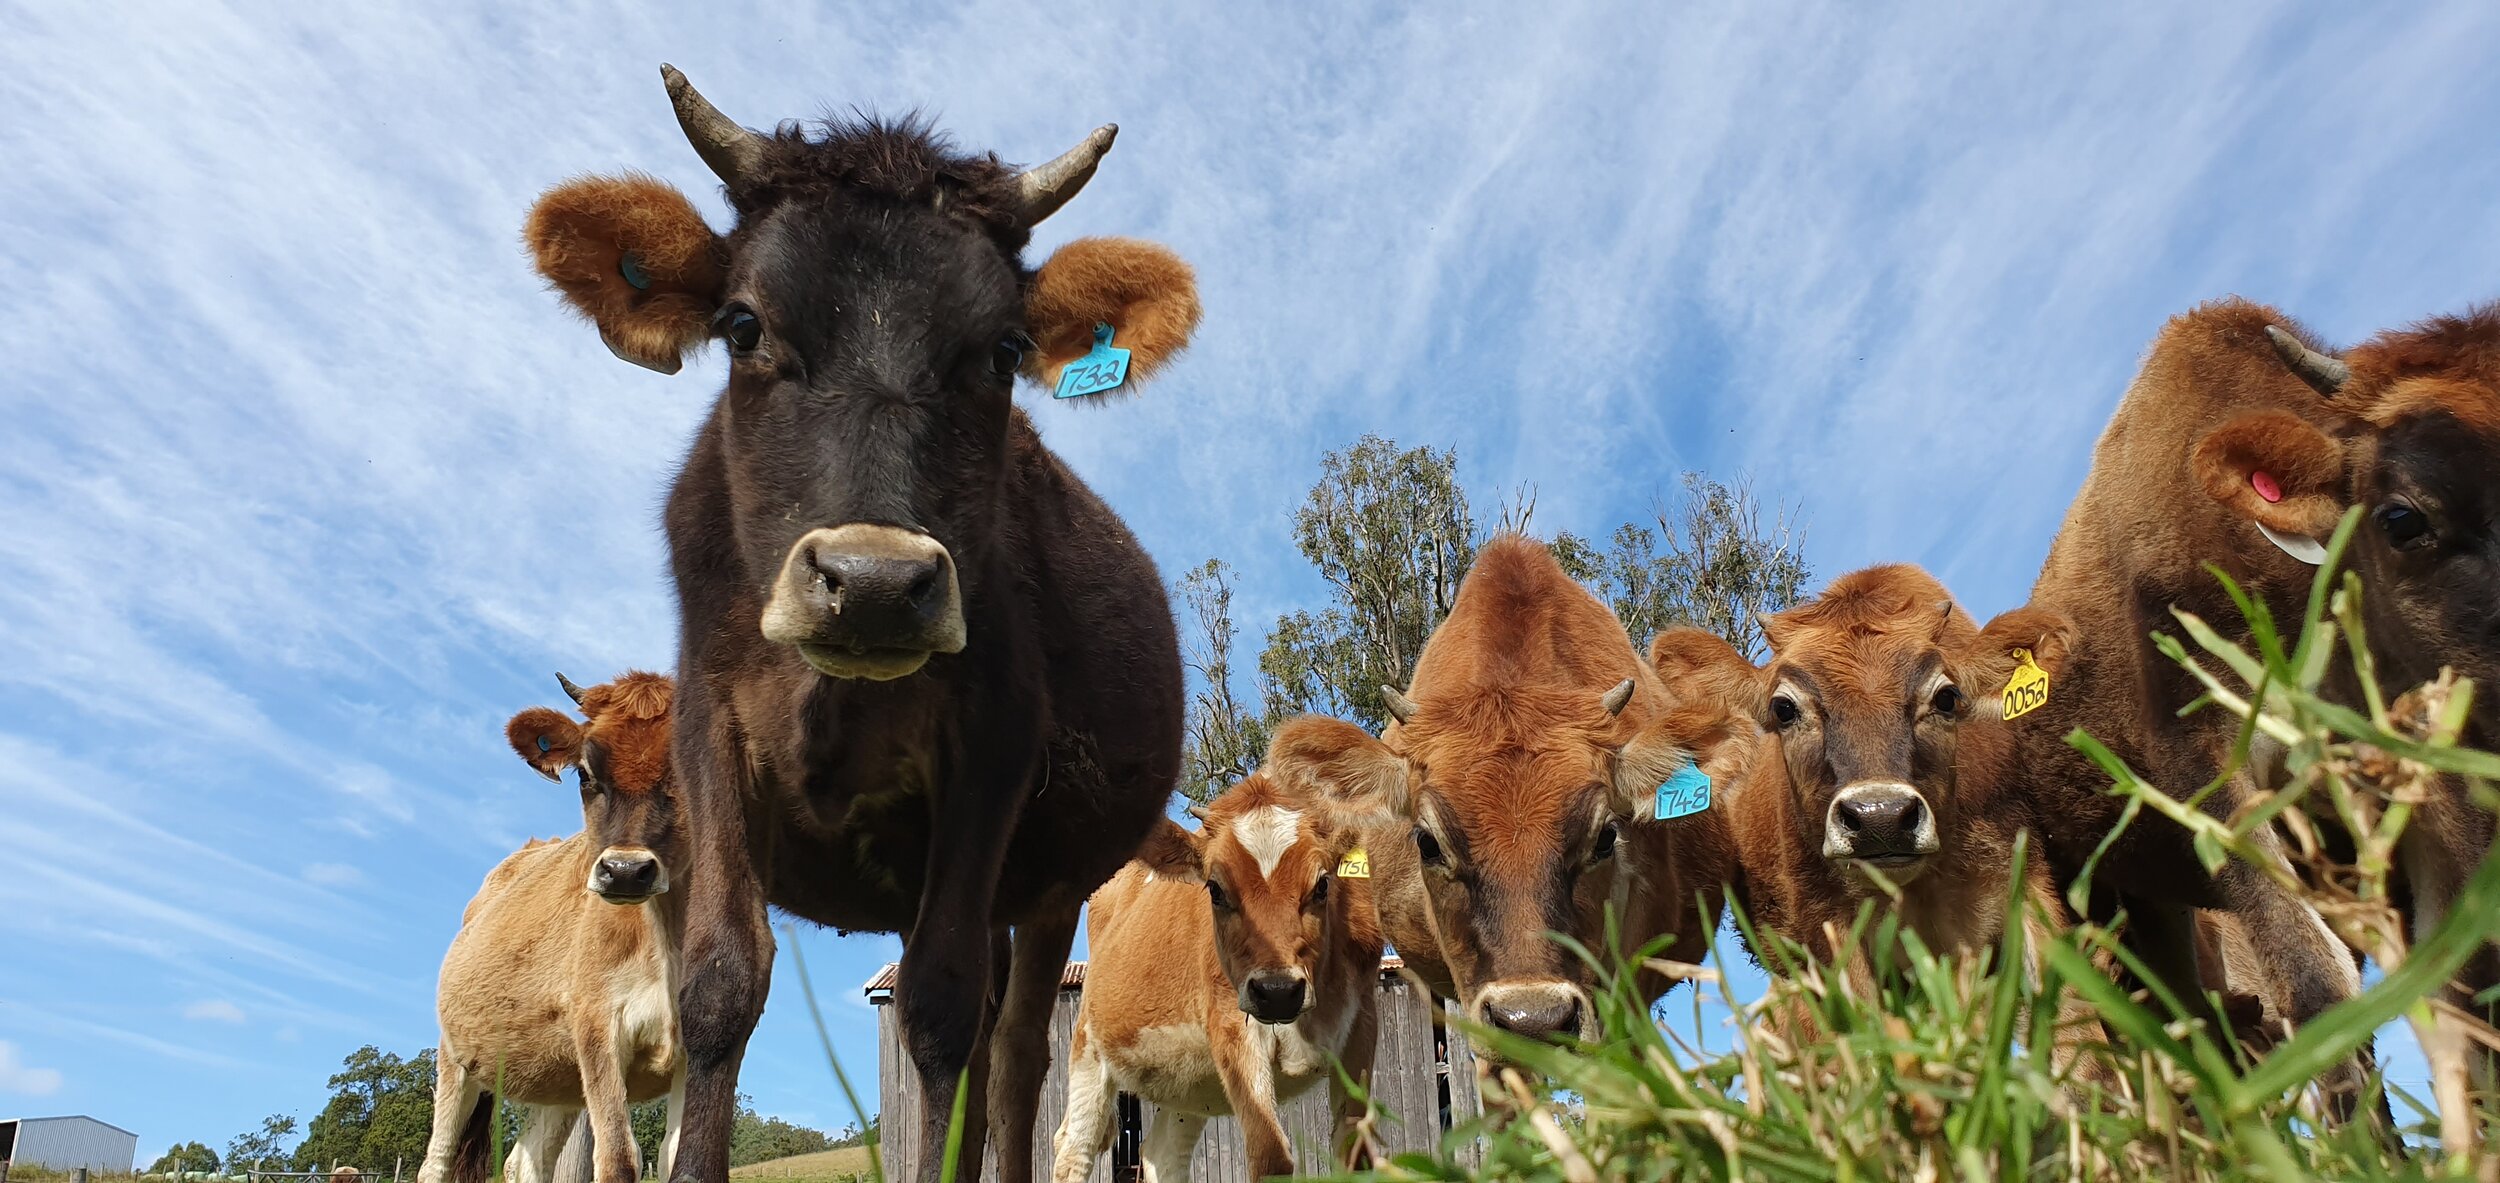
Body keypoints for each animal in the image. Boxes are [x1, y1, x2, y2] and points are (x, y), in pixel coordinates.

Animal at [420, 675, 690, 1180]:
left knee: (523, 1161)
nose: (625, 871)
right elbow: (619, 1157)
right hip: (455, 1055)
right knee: (437, 1160)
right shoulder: (597, 1025)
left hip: (558, 1080)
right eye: (583, 774)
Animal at [517, 69, 1200, 1180]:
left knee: (1014, 1048)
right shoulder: (709, 731)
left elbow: (938, 1007)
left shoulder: (993, 754)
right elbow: (720, 982)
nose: (876, 583)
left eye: (1003, 349)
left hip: (1051, 880)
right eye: (742, 324)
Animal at [1045, 750, 1380, 1175]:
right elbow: (1270, 1153)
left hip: (1189, 1088)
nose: (1277, 992)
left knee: (1162, 1154)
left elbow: (1356, 1153)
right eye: (1215, 889)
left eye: (1323, 884)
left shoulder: (1362, 1024)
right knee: (1076, 1147)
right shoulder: (1231, 1026)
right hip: (1089, 1045)